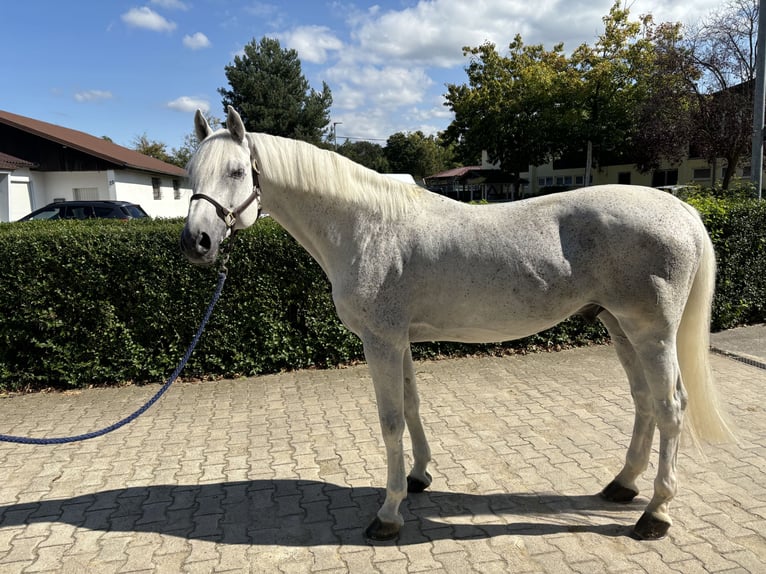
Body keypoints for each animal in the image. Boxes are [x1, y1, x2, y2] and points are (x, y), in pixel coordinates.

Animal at [180, 108, 732, 544]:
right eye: (189, 174)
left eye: (236, 170)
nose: (197, 242)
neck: (367, 226)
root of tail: (681, 207)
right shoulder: (399, 340)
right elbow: (411, 407)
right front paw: (419, 477)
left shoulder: (380, 341)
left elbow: (390, 420)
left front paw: (388, 514)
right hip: (619, 327)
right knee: (644, 403)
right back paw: (622, 486)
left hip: (651, 333)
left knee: (670, 407)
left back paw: (655, 514)